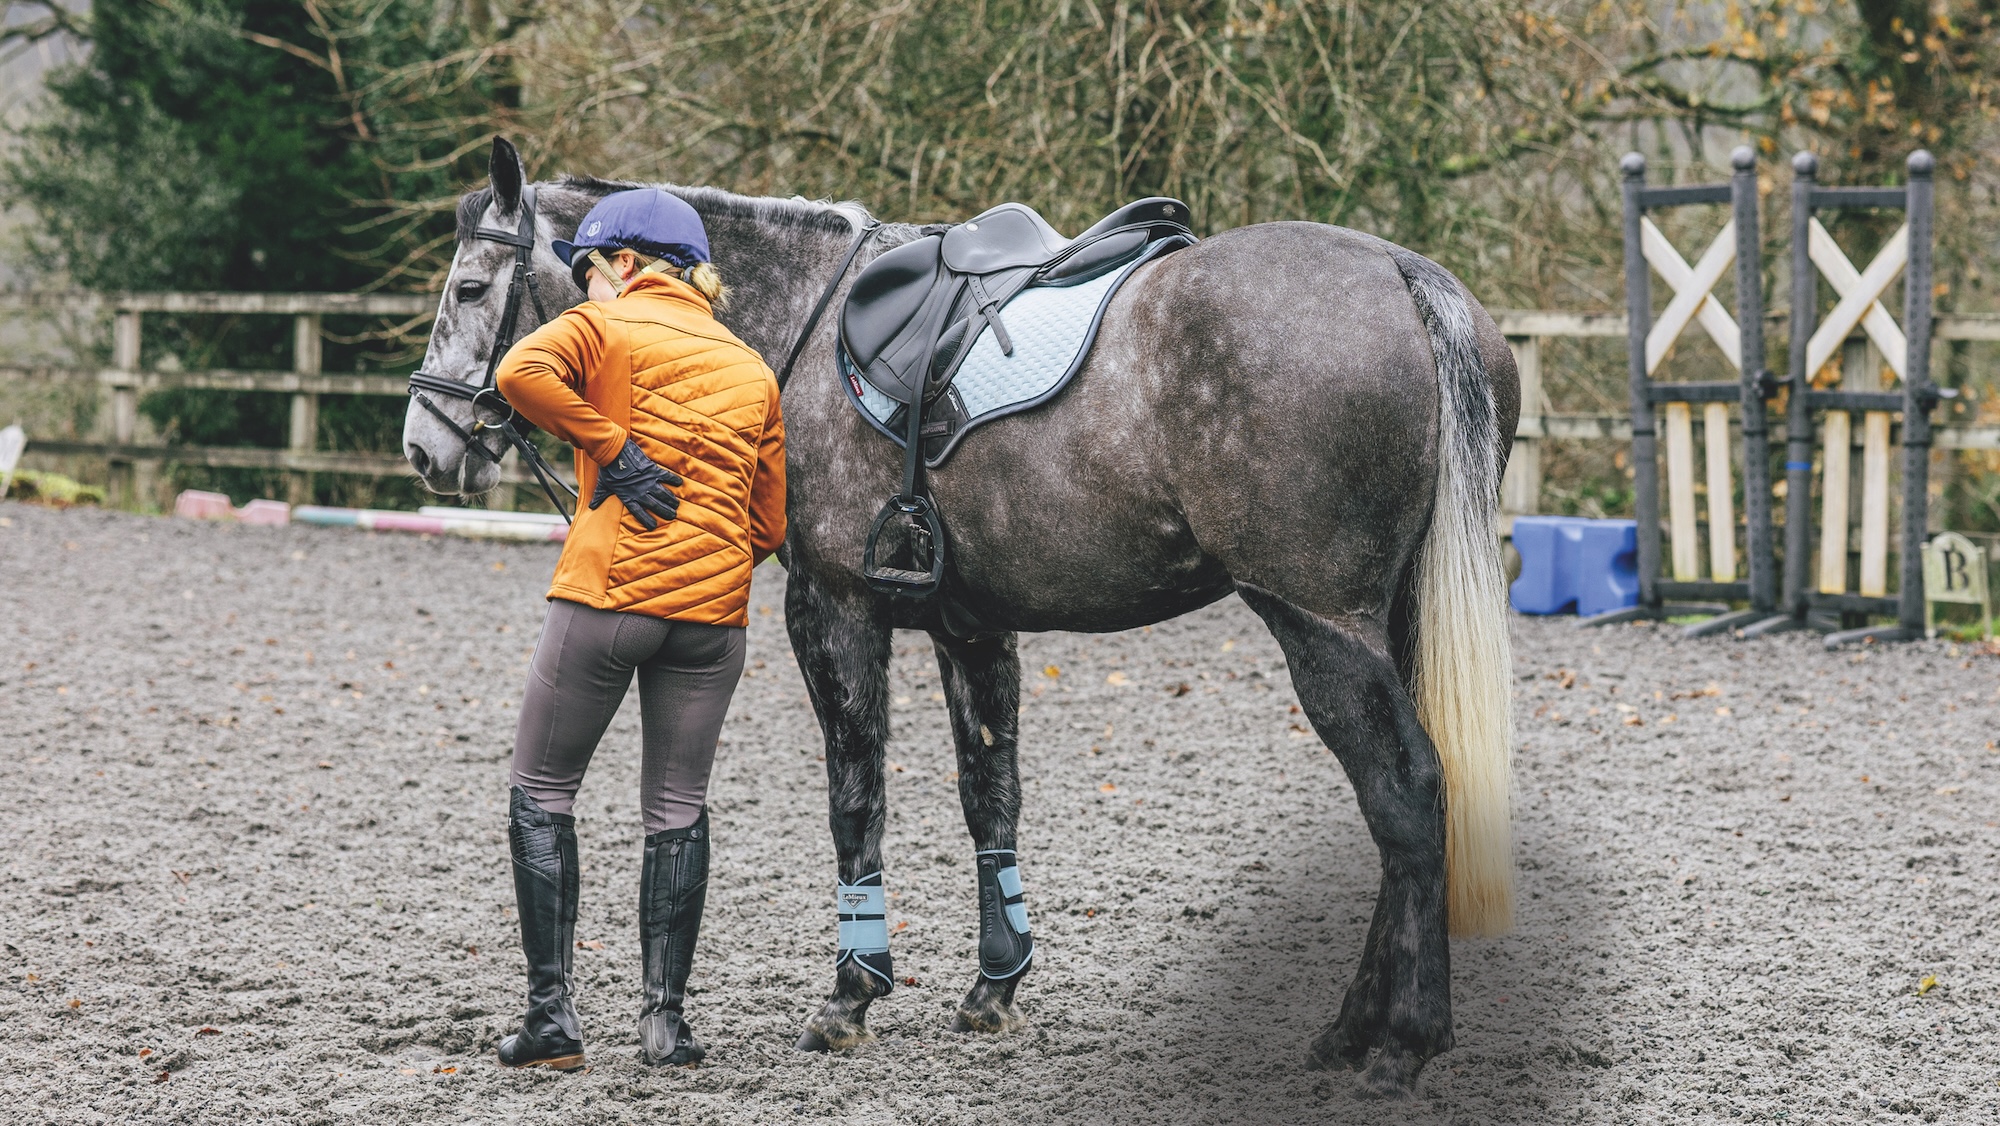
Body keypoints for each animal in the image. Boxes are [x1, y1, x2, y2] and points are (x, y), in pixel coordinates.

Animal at [403, 137, 1519, 1097]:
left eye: (470, 290)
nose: (424, 443)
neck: (800, 321)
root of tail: (1402, 276)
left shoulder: (834, 610)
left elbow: (856, 799)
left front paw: (851, 994)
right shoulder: (969, 628)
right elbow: (992, 796)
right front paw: (994, 984)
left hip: (1319, 623)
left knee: (1406, 793)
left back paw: (1400, 1044)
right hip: (1389, 621)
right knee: (1408, 803)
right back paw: (1353, 1028)